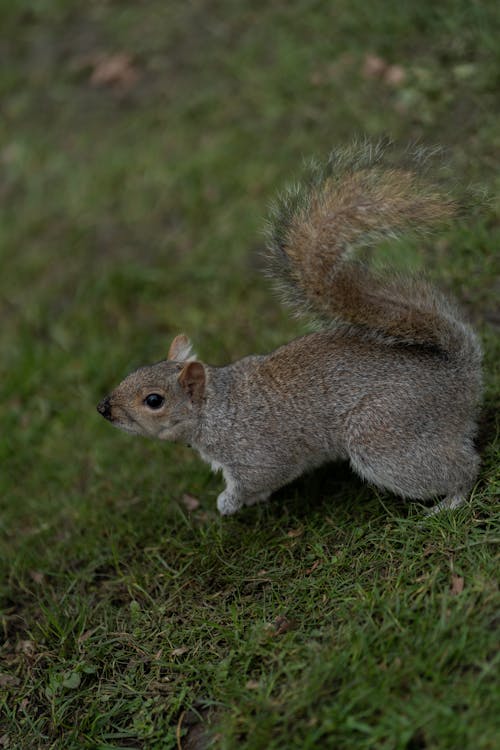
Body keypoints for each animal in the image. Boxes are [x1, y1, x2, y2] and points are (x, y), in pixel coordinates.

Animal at [95, 141, 482, 516]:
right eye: (136, 370)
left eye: (154, 401)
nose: (104, 408)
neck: (217, 408)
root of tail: (461, 375)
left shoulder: (255, 452)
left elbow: (261, 476)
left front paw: (229, 502)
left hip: (386, 438)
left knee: (465, 466)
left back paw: (452, 499)